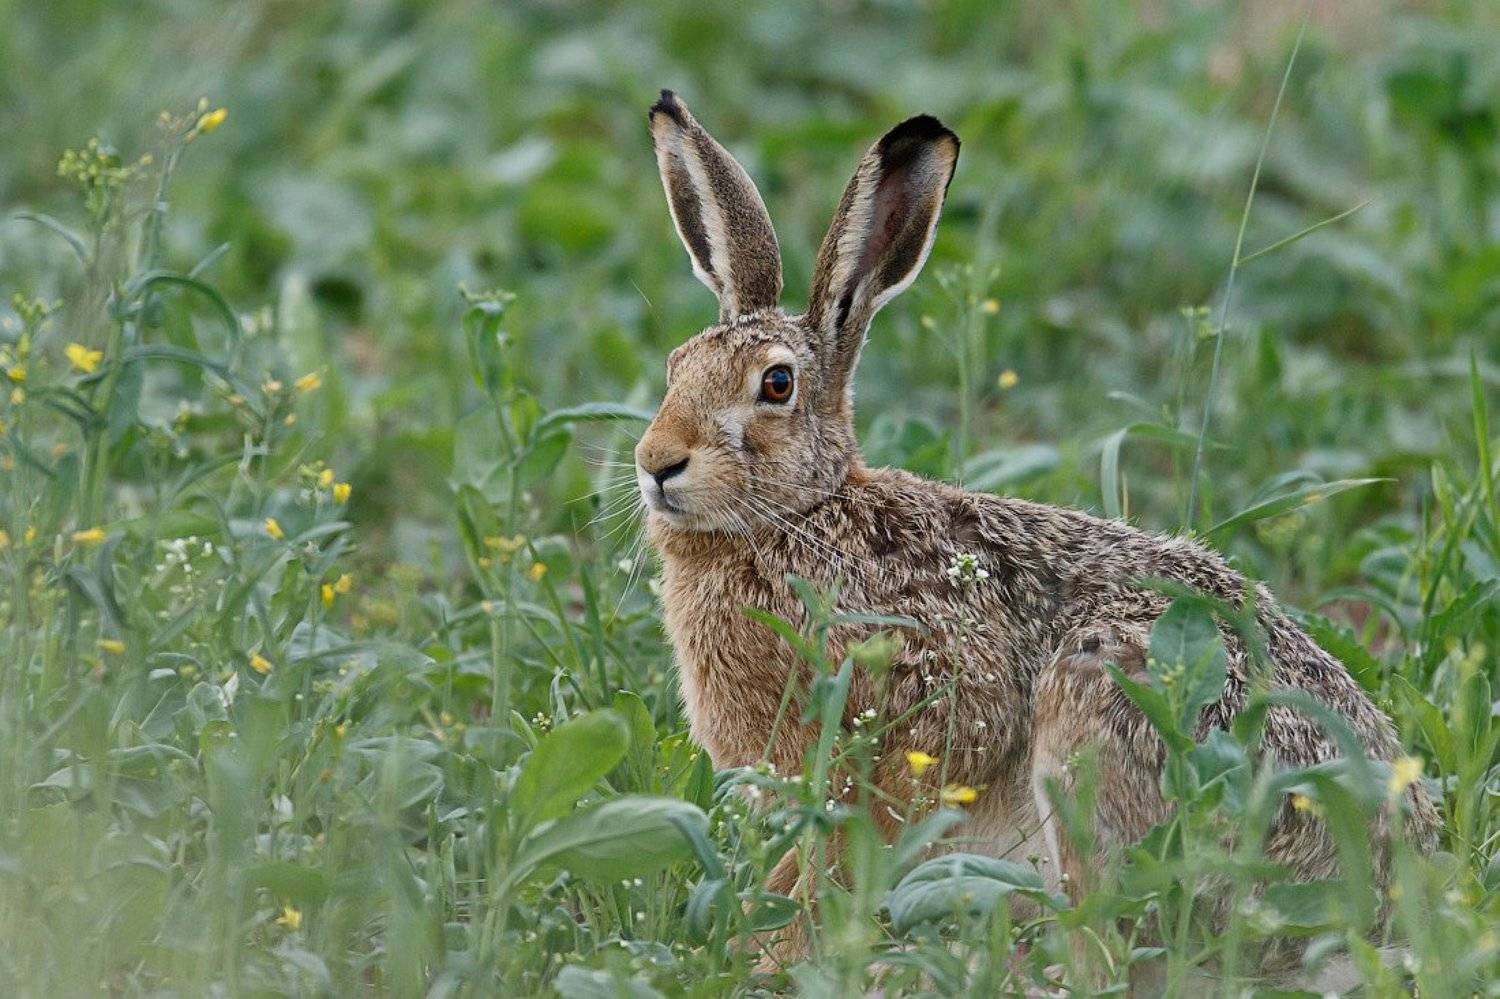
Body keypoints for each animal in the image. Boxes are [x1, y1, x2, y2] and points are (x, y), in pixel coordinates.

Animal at [635, 90, 1439, 972]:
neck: (804, 516)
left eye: (776, 384)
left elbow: (845, 853)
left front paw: (775, 954)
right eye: (676, 367)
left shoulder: (920, 728)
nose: (656, 461)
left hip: (1099, 716)